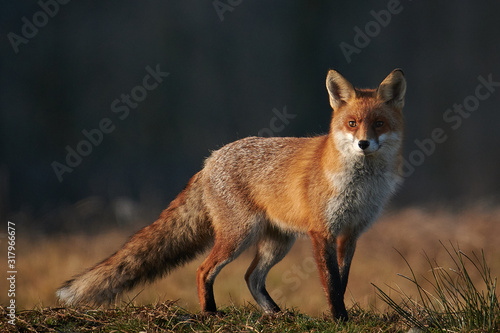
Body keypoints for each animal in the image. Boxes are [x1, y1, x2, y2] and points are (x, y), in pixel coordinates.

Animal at [55, 68, 406, 320]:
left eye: (378, 123)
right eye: (352, 123)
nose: (363, 144)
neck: (361, 185)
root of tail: (210, 159)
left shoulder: (350, 233)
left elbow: (342, 281)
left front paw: (343, 316)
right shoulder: (323, 232)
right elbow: (331, 283)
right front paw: (338, 319)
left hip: (277, 242)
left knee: (251, 277)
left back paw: (275, 314)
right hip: (239, 235)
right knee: (204, 270)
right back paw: (210, 313)